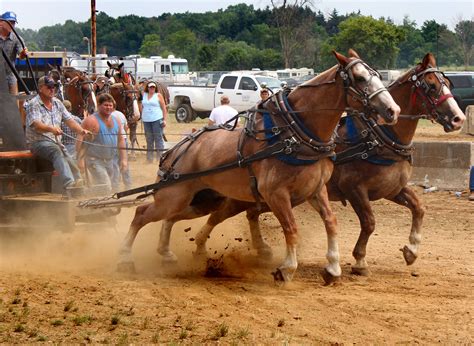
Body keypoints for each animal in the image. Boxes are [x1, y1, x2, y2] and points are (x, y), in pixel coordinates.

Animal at [117, 49, 400, 284]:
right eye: (360, 78)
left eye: (377, 75)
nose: (393, 110)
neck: (293, 133)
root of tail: (175, 150)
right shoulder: (276, 194)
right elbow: (291, 228)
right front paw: (286, 269)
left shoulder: (316, 190)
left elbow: (331, 223)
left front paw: (332, 267)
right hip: (174, 196)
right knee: (142, 213)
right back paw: (126, 257)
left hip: (201, 201)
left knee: (170, 218)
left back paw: (166, 254)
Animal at [155, 52, 462, 278]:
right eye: (432, 86)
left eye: (448, 84)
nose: (459, 118)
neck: (380, 135)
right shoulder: (354, 188)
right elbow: (369, 222)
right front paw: (359, 261)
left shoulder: (391, 189)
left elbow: (419, 208)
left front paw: (411, 250)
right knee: (207, 216)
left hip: (238, 197)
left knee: (232, 215)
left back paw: (247, 249)